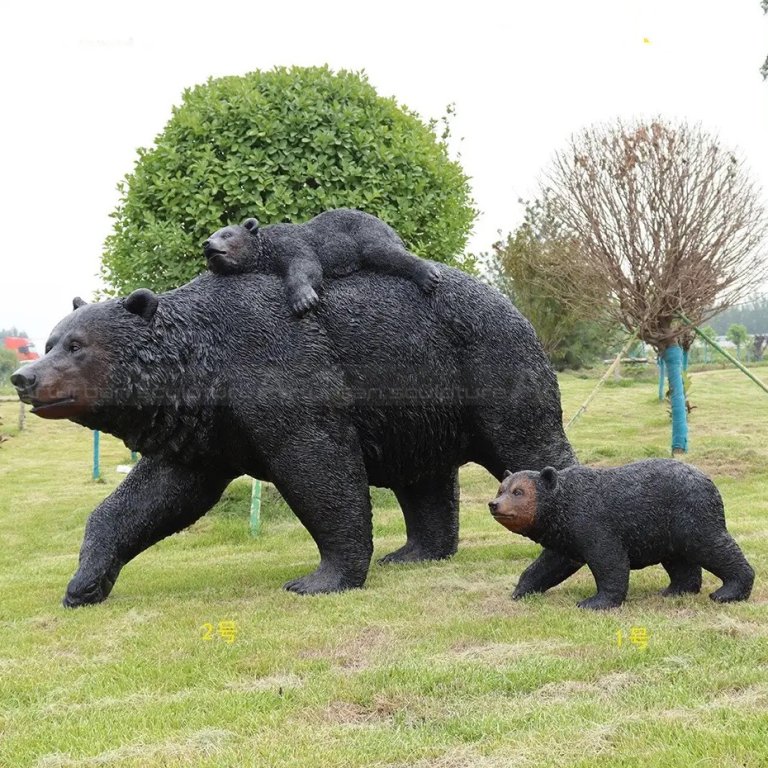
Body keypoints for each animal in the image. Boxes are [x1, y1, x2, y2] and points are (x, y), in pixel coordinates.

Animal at [11, 265, 578, 607]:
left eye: (76, 345)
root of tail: (511, 306)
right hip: (419, 402)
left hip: (488, 365)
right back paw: (415, 552)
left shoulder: (282, 369)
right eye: (51, 341)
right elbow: (154, 496)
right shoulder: (204, 434)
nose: (23, 377)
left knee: (529, 443)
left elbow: (319, 468)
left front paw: (319, 580)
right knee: (423, 477)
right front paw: (83, 585)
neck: (202, 367)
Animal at [202, 208, 441, 315]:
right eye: (212, 234)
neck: (265, 250)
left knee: (383, 252)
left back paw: (428, 275)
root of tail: (390, 227)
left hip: (366, 232)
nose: (207, 244)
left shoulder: (289, 242)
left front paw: (303, 299)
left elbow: (307, 266)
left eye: (226, 234)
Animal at [488, 460, 755, 610]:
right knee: (679, 560)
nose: (494, 504)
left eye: (518, 492)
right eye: (501, 489)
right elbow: (551, 563)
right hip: (666, 528)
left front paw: (594, 602)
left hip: (690, 513)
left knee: (711, 544)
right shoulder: (566, 535)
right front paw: (520, 590)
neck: (562, 508)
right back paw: (674, 590)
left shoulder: (593, 522)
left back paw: (728, 592)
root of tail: (708, 479)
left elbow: (609, 559)